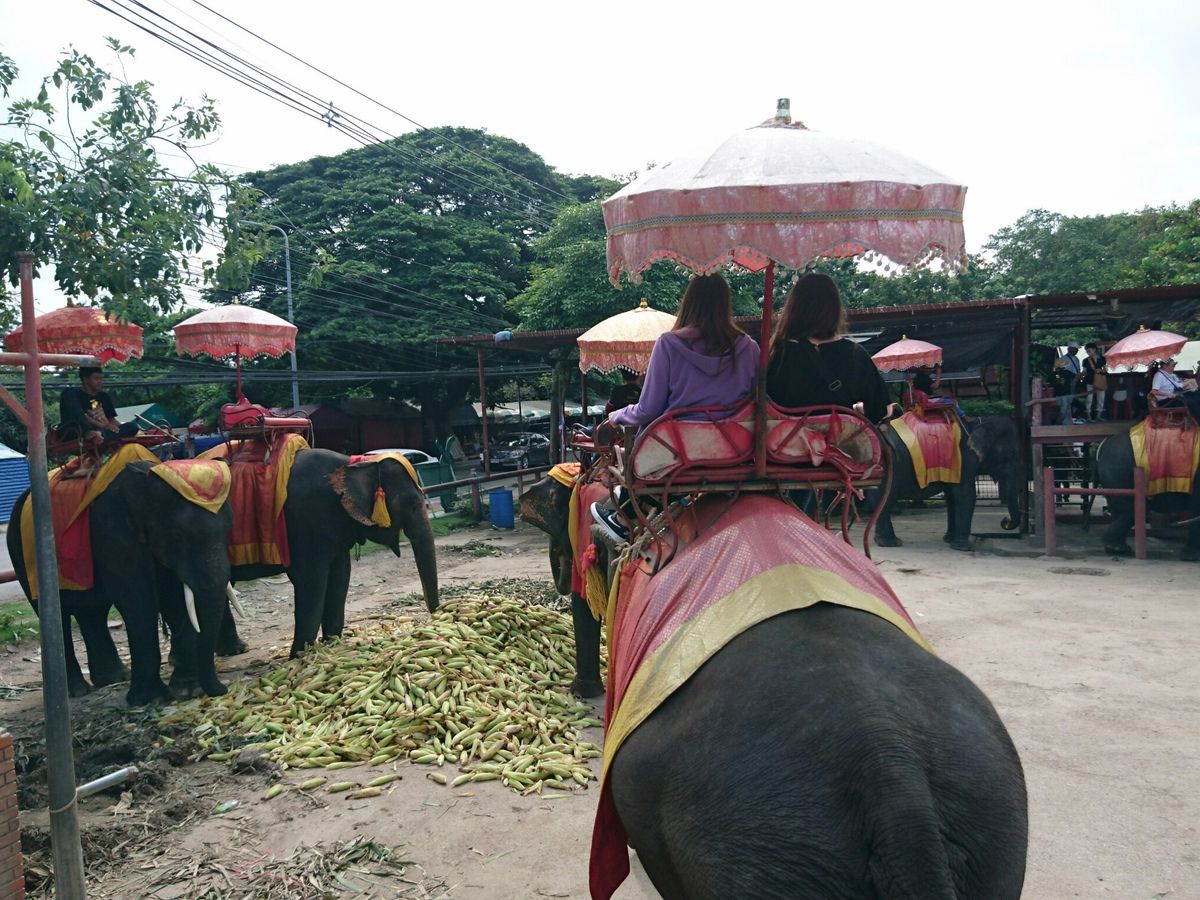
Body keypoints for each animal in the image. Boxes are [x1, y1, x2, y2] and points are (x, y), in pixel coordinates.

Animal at [7, 461, 234, 705]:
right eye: (178, 535)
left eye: (229, 530)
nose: (222, 689)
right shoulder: (113, 534)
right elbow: (138, 601)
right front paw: (150, 699)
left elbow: (175, 599)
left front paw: (186, 691)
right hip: (22, 557)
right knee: (58, 617)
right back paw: (78, 691)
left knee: (92, 611)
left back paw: (114, 678)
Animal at [217, 449, 439, 658]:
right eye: (412, 505)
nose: (434, 619)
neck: (351, 464)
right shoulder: (306, 521)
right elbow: (310, 581)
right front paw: (299, 656)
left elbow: (341, 575)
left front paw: (332, 644)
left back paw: (235, 650)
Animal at [873, 414, 1023, 551]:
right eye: (1011, 454)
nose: (1005, 520)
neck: (979, 422)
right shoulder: (964, 461)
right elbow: (966, 495)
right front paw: (963, 547)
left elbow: (952, 497)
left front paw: (948, 539)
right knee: (886, 499)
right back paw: (890, 543)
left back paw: (883, 542)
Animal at [1096, 427, 1200, 559]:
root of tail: (1103, 445)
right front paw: (1190, 556)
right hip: (1121, 474)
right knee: (1132, 509)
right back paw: (1117, 548)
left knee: (1118, 510)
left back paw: (1117, 549)